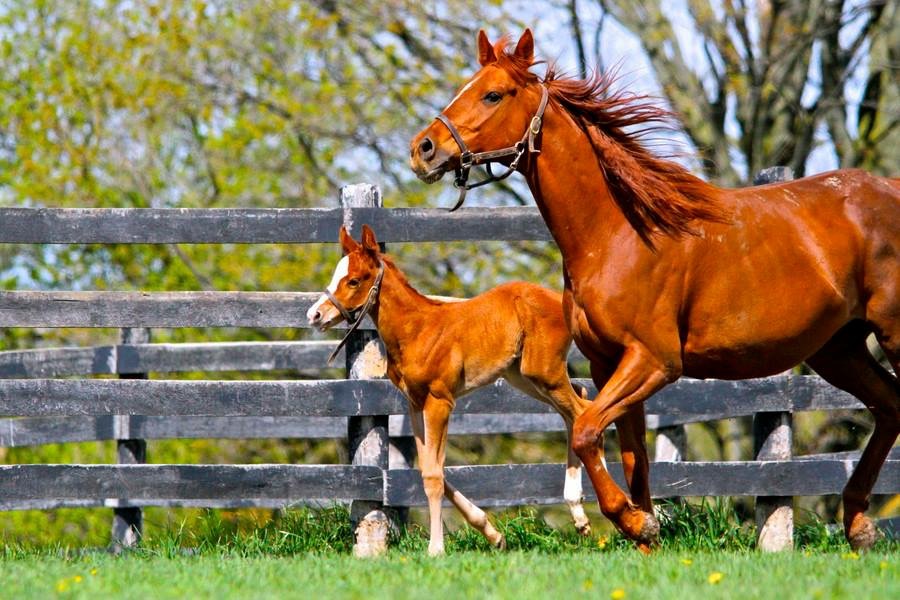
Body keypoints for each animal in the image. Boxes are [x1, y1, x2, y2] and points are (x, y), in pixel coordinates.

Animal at [307, 224, 594, 556]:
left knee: (582, 410)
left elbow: (434, 475)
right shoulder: (414, 403)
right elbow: (428, 469)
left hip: (543, 371)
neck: (416, 330)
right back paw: (581, 515)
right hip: (524, 376)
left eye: (354, 280)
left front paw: (436, 548)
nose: (314, 315)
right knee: (578, 403)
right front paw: (493, 534)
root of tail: (561, 300)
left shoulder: (439, 401)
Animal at [410, 28, 899, 552]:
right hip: (838, 350)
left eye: (493, 94)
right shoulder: (608, 364)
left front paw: (633, 522)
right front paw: (647, 537)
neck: (619, 235)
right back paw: (859, 526)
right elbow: (633, 460)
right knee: (889, 406)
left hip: (890, 336)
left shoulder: (655, 361)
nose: (424, 148)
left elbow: (585, 430)